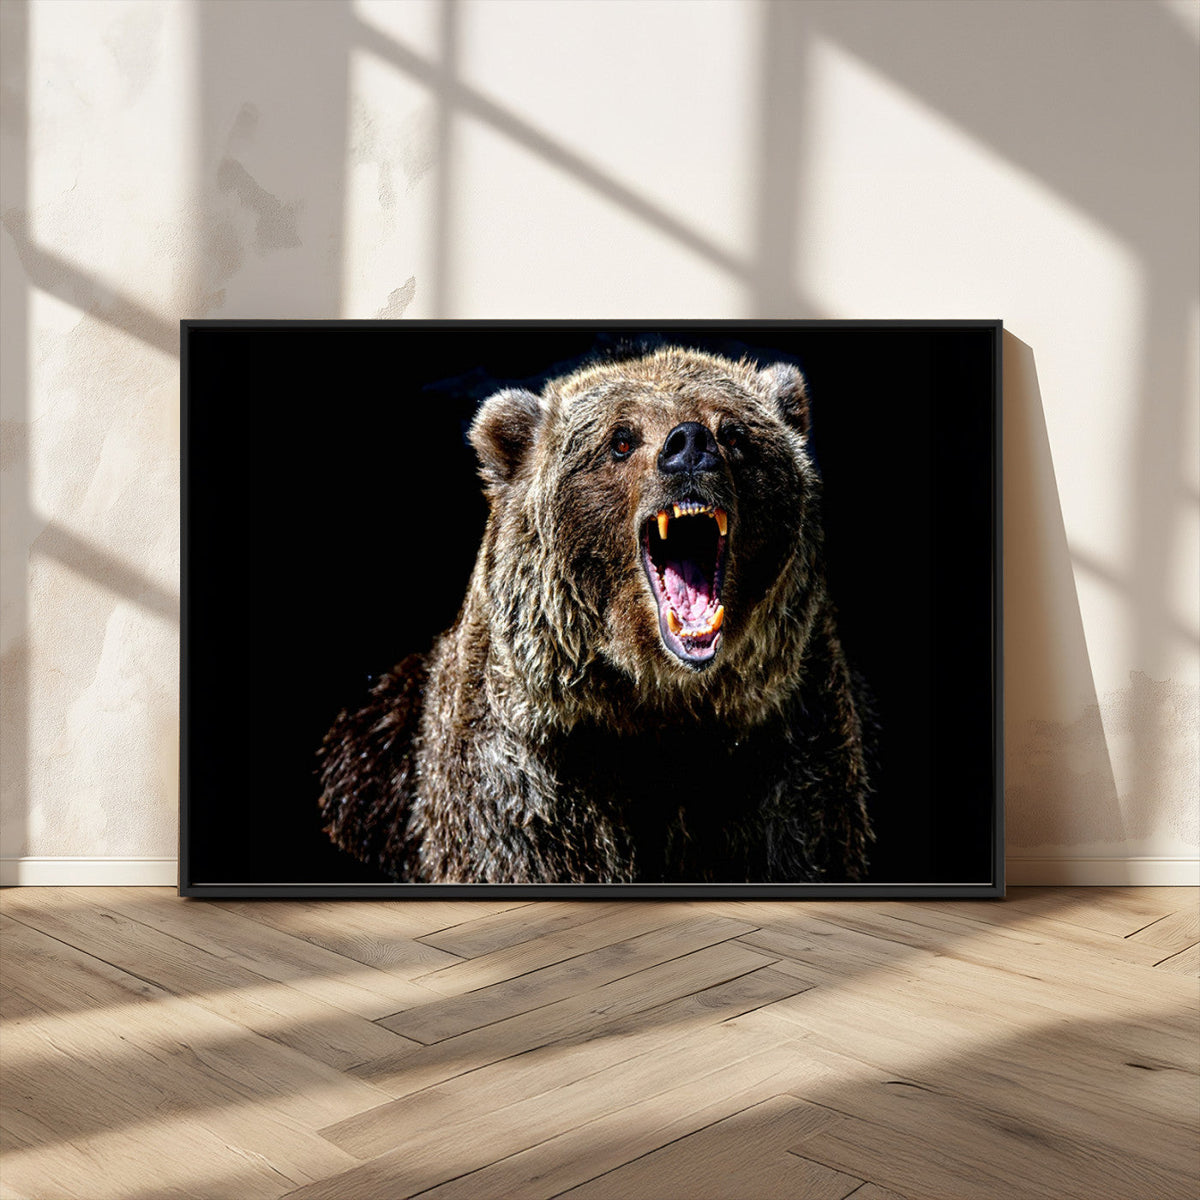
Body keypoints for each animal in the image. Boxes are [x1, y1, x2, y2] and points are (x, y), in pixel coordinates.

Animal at [318, 345, 874, 883]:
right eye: (621, 439)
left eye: (734, 432)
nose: (690, 445)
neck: (659, 707)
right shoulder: (529, 782)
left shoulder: (784, 760)